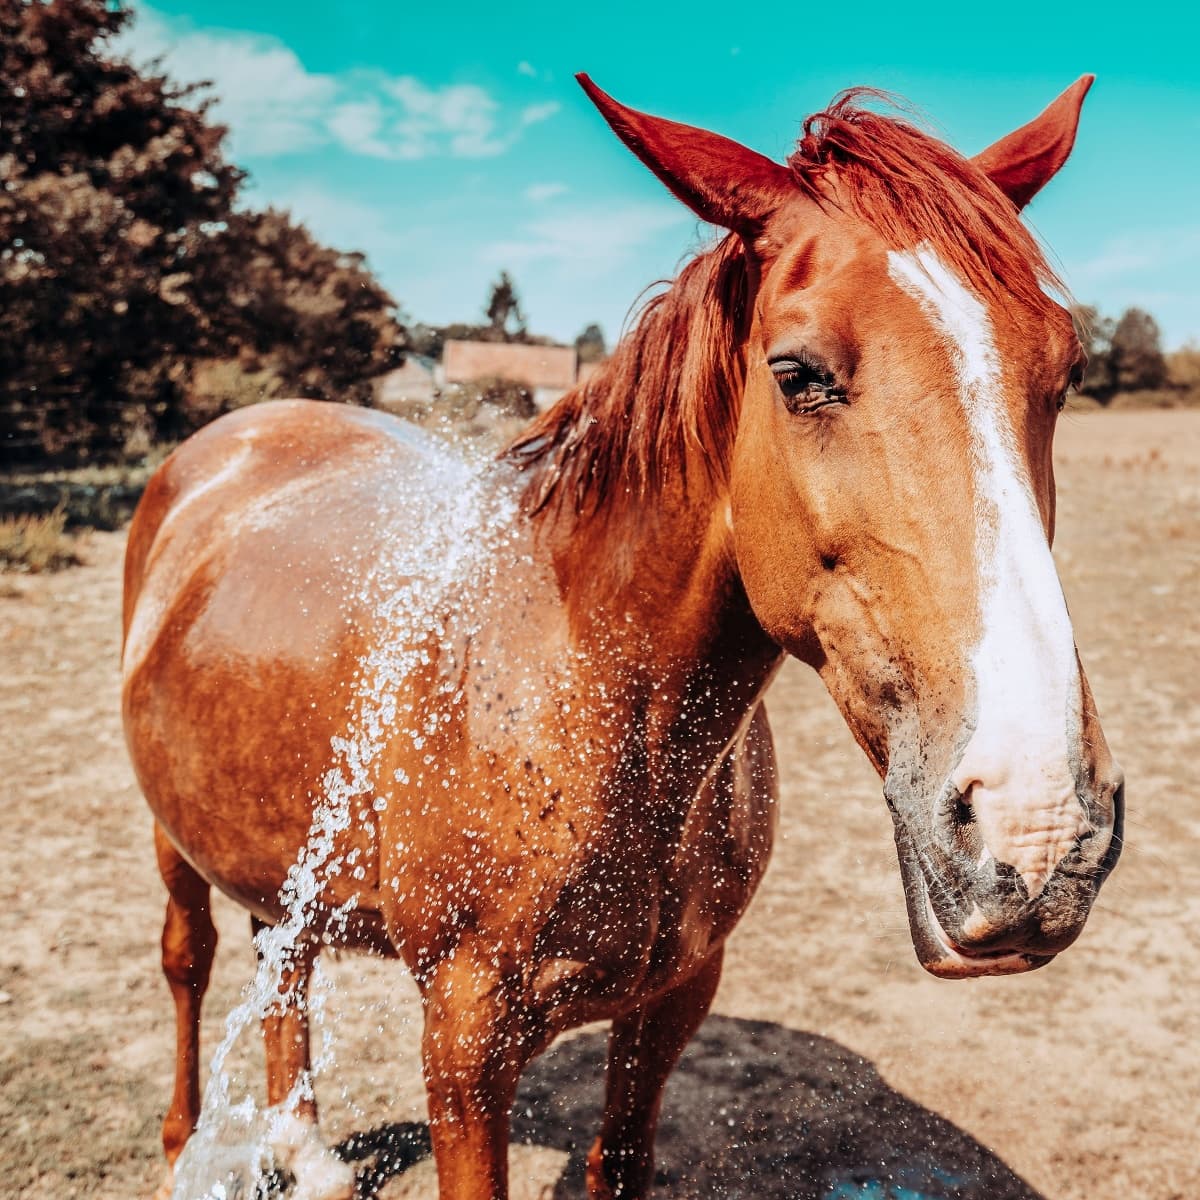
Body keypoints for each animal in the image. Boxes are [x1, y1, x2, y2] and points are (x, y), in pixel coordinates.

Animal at [122, 74, 1124, 1200]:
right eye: (797, 373)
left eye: (1065, 370)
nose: (1042, 827)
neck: (579, 699)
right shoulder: (463, 1048)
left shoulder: (672, 1001)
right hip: (171, 836)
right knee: (190, 958)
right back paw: (189, 1140)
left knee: (279, 954)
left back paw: (303, 1148)